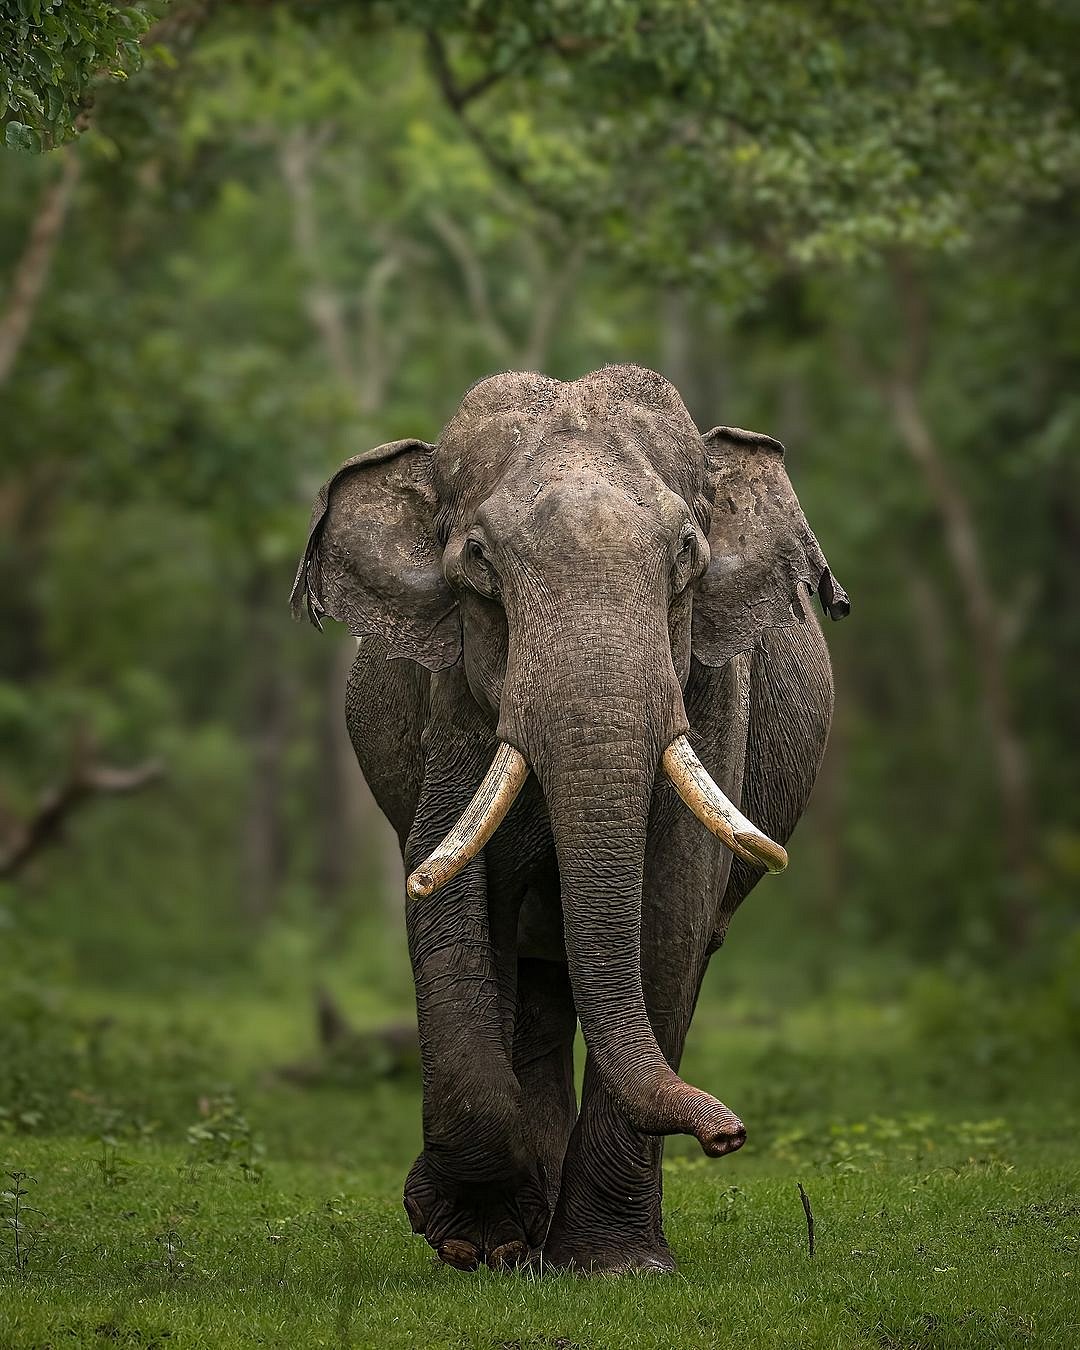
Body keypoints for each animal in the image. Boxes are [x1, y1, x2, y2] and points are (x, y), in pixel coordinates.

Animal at [291, 364, 849, 1275]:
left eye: (687, 554)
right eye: (477, 561)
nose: (728, 1134)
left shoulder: (713, 690)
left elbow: (673, 907)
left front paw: (612, 1265)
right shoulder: (452, 693)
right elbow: (450, 885)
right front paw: (473, 1238)